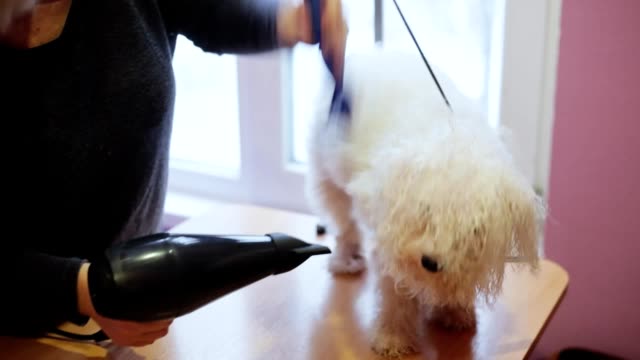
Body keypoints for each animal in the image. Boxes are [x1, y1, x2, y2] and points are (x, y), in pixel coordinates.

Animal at [304, 48, 544, 358]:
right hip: (331, 180)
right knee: (345, 227)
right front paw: (392, 339)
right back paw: (346, 260)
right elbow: (395, 296)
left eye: (473, 231)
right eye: (426, 211)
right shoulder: (391, 244)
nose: (430, 262)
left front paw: (453, 312)